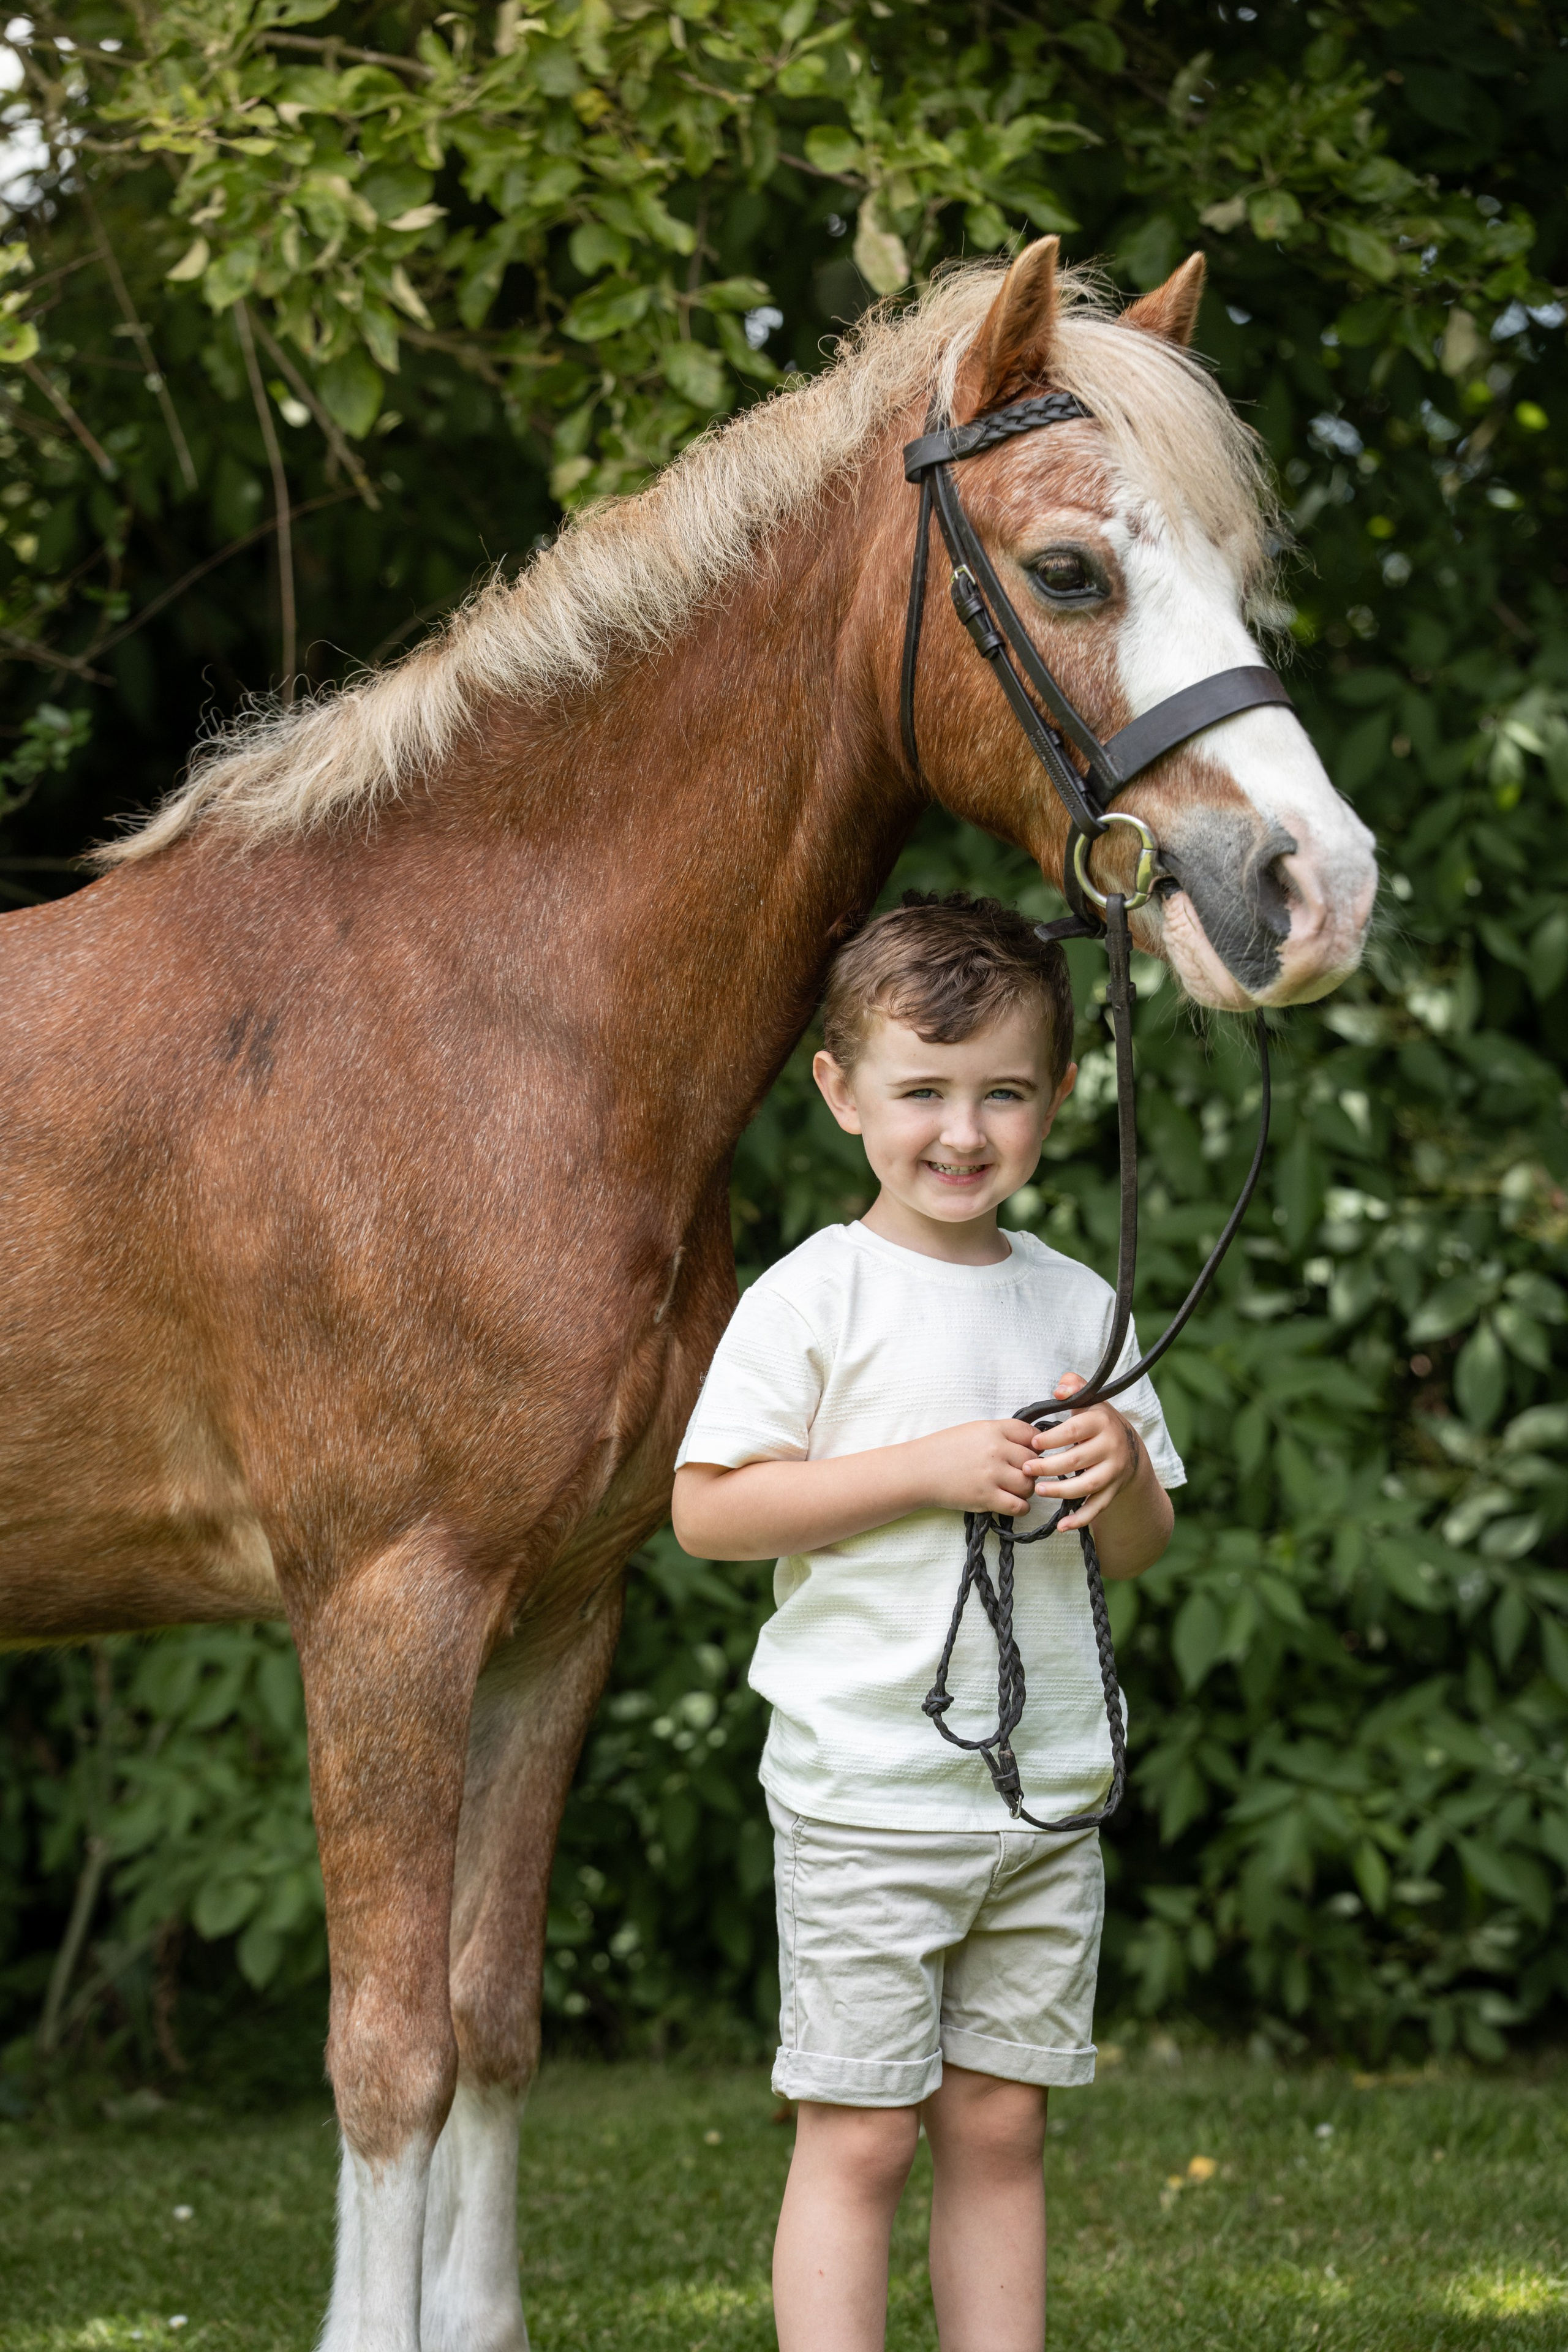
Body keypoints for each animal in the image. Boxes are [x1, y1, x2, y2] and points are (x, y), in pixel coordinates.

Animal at [0, 240, 1376, 2350]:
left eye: (1239, 571)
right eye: (1068, 572)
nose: (1316, 891)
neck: (469, 1015)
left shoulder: (557, 1611)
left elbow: (490, 2023)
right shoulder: (383, 1611)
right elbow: (386, 2052)